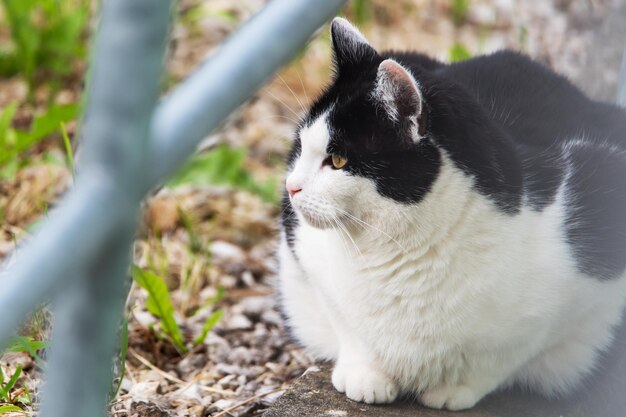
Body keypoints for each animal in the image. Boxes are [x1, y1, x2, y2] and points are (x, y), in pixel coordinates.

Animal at [276, 17, 624, 410]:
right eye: (300, 145)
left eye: (337, 160)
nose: (290, 186)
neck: (396, 250)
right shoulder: (303, 250)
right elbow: (346, 323)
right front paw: (365, 374)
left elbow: (508, 353)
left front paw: (455, 388)